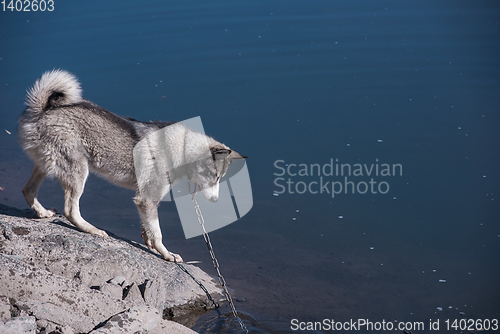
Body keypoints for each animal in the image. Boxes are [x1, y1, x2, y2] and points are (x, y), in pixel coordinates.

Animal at [18, 70, 245, 262]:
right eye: (213, 175)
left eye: (219, 178)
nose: (215, 200)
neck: (181, 149)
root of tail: (41, 109)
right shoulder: (147, 199)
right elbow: (158, 233)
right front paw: (166, 254)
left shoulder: (145, 199)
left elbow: (148, 229)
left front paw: (150, 244)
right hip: (78, 171)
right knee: (70, 210)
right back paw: (92, 230)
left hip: (47, 165)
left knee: (28, 190)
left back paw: (43, 213)